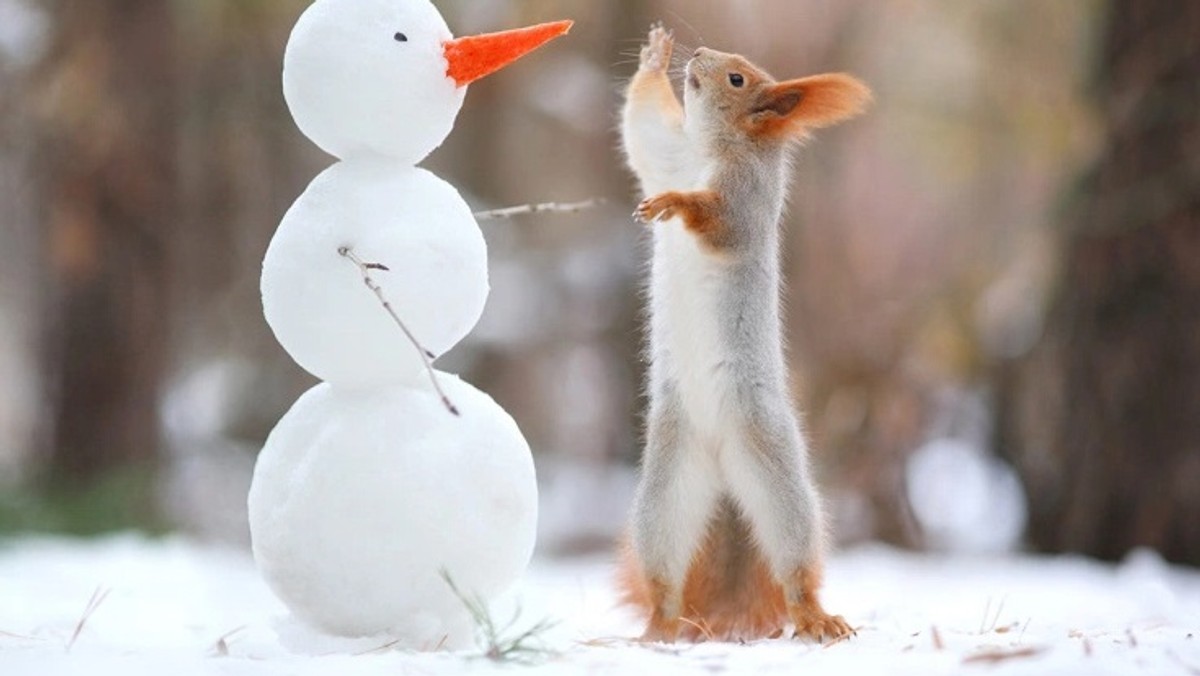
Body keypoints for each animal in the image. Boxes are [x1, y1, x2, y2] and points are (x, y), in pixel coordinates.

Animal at [619, 22, 873, 643]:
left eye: (737, 78)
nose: (699, 53)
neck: (707, 149)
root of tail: (720, 465)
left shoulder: (745, 199)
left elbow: (720, 221)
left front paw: (679, 203)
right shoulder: (666, 154)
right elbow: (641, 130)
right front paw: (654, 57)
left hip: (773, 467)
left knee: (794, 558)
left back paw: (815, 616)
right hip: (666, 489)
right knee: (664, 573)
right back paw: (659, 629)